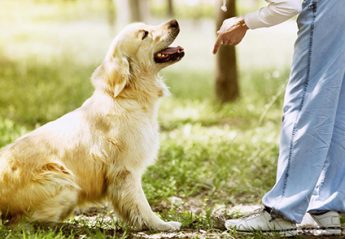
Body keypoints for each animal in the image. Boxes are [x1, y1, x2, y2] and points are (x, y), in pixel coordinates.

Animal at [0, 19, 183, 231]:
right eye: (144, 34)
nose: (174, 22)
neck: (128, 97)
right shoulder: (125, 171)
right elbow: (142, 205)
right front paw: (162, 225)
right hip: (64, 181)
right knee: (24, 223)